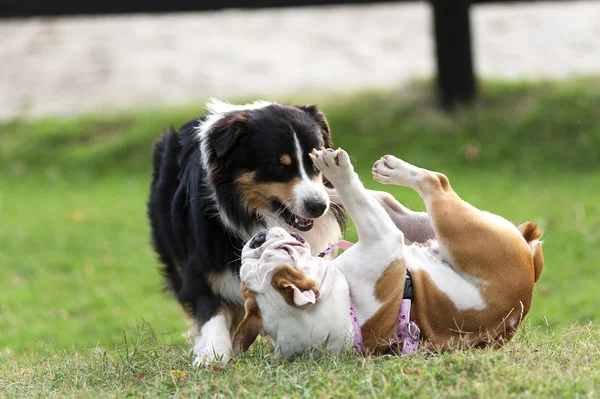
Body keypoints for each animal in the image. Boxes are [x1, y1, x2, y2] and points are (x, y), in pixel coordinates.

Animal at [146, 100, 350, 366]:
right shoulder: (199, 264)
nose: (318, 207)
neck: (253, 214)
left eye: (316, 161)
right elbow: (211, 308)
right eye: (278, 165)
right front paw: (212, 353)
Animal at [231, 148, 544, 358]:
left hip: (421, 225)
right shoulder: (382, 235)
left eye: (246, 268)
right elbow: (359, 201)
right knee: (435, 183)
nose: (256, 239)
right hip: (458, 226)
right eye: (284, 250)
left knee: (381, 198)